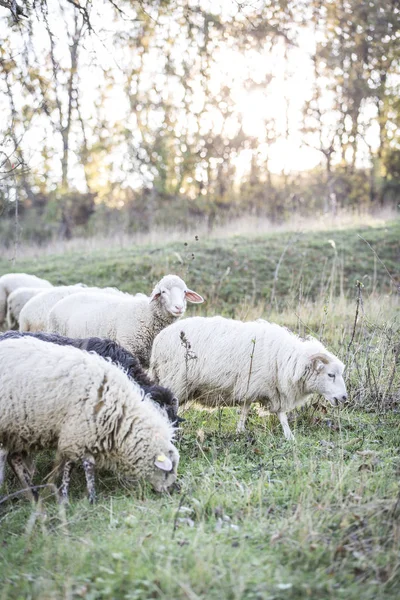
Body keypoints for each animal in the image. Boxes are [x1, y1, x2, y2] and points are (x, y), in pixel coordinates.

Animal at [148, 316, 346, 438]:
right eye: (330, 374)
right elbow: (247, 411)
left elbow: (277, 414)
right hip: (175, 380)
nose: (344, 397)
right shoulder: (254, 385)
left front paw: (289, 436)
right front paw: (241, 431)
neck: (285, 360)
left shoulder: (269, 389)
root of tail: (158, 341)